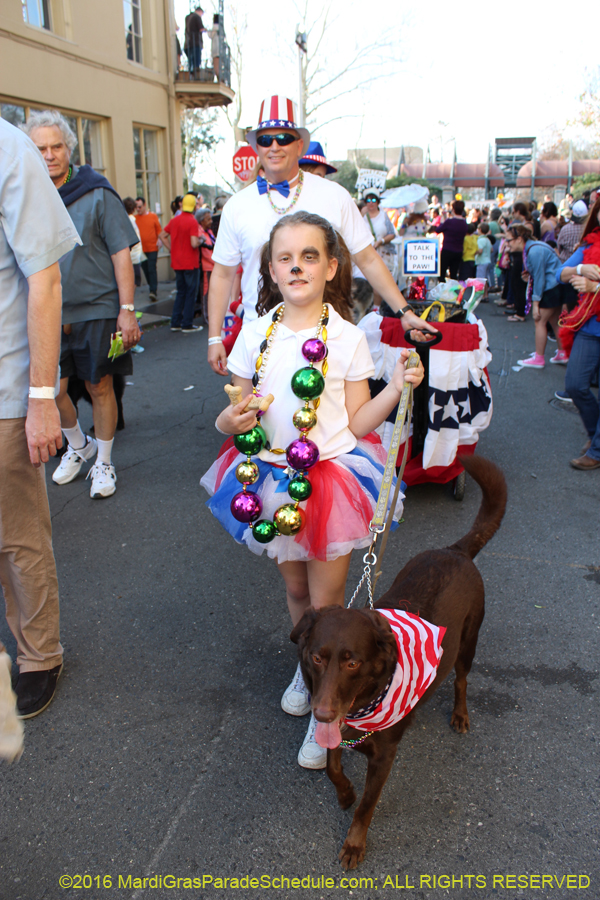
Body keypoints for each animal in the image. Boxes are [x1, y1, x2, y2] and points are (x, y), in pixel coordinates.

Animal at [290, 458, 506, 872]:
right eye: (316, 658)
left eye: (353, 663)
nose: (321, 714)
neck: (363, 705)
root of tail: (456, 550)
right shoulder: (338, 727)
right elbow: (333, 765)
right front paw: (344, 793)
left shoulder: (384, 757)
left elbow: (367, 806)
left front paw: (354, 843)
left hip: (469, 641)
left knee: (461, 680)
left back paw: (460, 714)